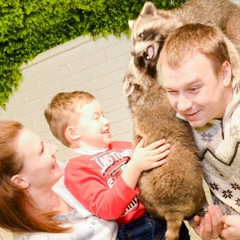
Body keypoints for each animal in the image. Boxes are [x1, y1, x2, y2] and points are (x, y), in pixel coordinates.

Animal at [124, 41, 206, 240]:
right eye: (136, 59)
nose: (138, 50)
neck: (142, 91)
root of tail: (172, 211)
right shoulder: (162, 98)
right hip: (193, 192)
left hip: (149, 200)